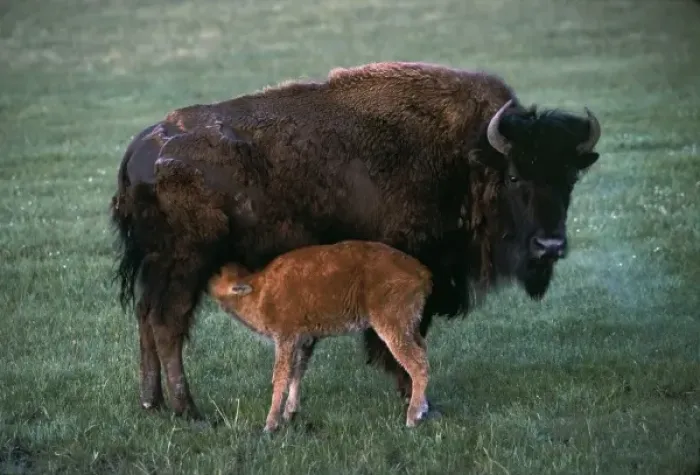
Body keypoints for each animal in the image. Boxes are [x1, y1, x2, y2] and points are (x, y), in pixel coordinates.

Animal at [110, 61, 601, 420]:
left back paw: (152, 402)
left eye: (569, 178)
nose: (550, 246)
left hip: (158, 266)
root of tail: (141, 148)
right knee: (167, 323)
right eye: (515, 176)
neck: (468, 157)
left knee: (146, 318)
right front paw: (416, 400)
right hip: (184, 264)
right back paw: (189, 411)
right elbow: (406, 338)